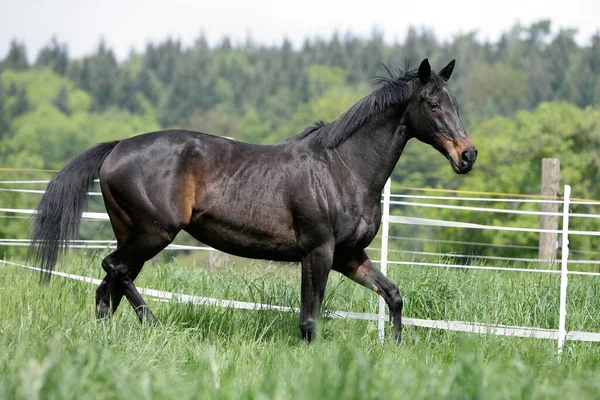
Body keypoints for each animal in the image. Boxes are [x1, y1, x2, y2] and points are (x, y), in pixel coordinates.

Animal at [28, 57, 478, 342]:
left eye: (456, 103)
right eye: (432, 104)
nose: (468, 155)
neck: (342, 167)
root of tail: (117, 147)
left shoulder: (350, 256)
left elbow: (393, 295)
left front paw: (395, 348)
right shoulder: (318, 252)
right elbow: (310, 320)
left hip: (136, 236)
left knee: (108, 288)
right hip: (153, 234)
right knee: (114, 272)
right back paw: (154, 325)